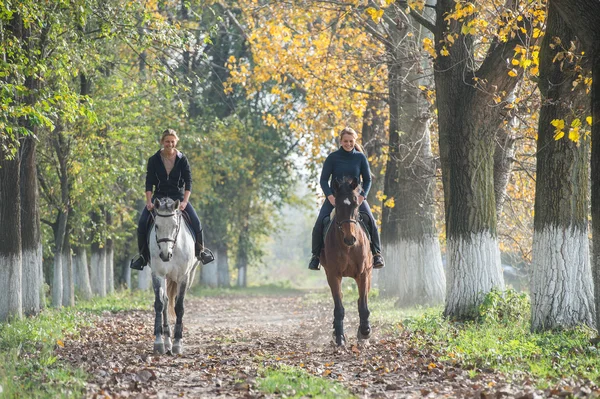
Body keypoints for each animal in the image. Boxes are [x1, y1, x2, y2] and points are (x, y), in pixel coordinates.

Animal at [149, 198, 198, 354]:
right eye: (156, 226)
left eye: (175, 226)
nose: (165, 255)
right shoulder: (157, 274)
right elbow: (159, 304)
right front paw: (159, 342)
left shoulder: (183, 277)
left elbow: (179, 307)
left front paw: (178, 343)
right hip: (165, 277)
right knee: (165, 301)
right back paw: (167, 341)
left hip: (189, 276)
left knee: (176, 301)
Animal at [322, 177, 372, 346]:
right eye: (337, 206)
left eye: (356, 204)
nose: (350, 239)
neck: (348, 247)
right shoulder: (333, 275)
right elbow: (339, 307)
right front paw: (339, 337)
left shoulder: (363, 274)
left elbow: (363, 305)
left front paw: (364, 332)